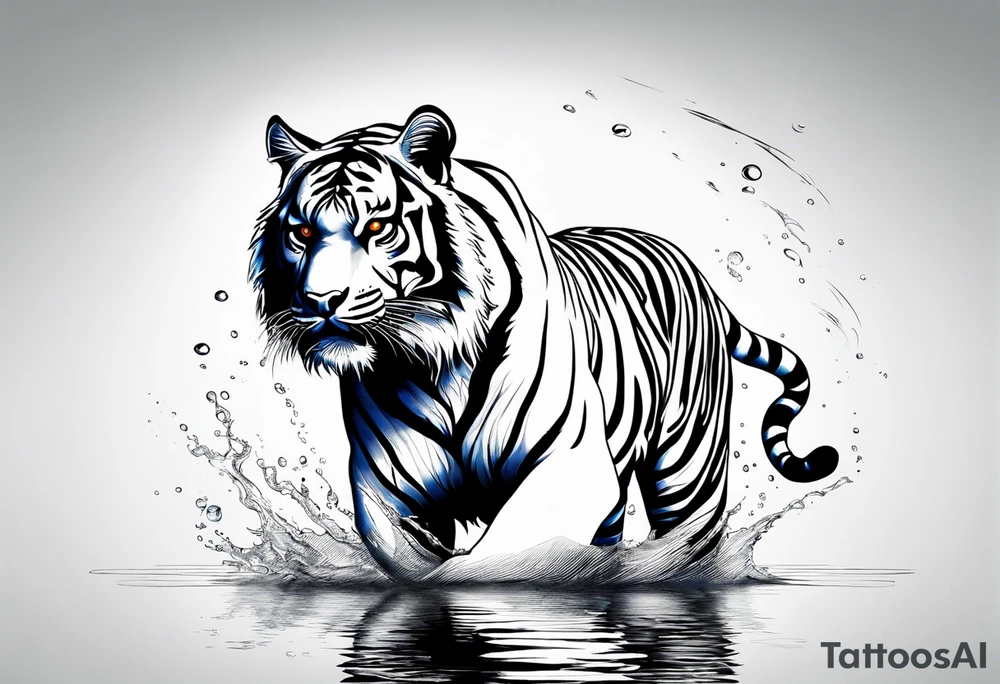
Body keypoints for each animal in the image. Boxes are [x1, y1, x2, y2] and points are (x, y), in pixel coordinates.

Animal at [249, 105, 839, 581]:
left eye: (376, 227)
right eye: (302, 232)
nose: (321, 300)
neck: (434, 367)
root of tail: (697, 274)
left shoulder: (570, 469)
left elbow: (489, 563)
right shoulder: (384, 488)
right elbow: (408, 554)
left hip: (690, 470)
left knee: (690, 543)